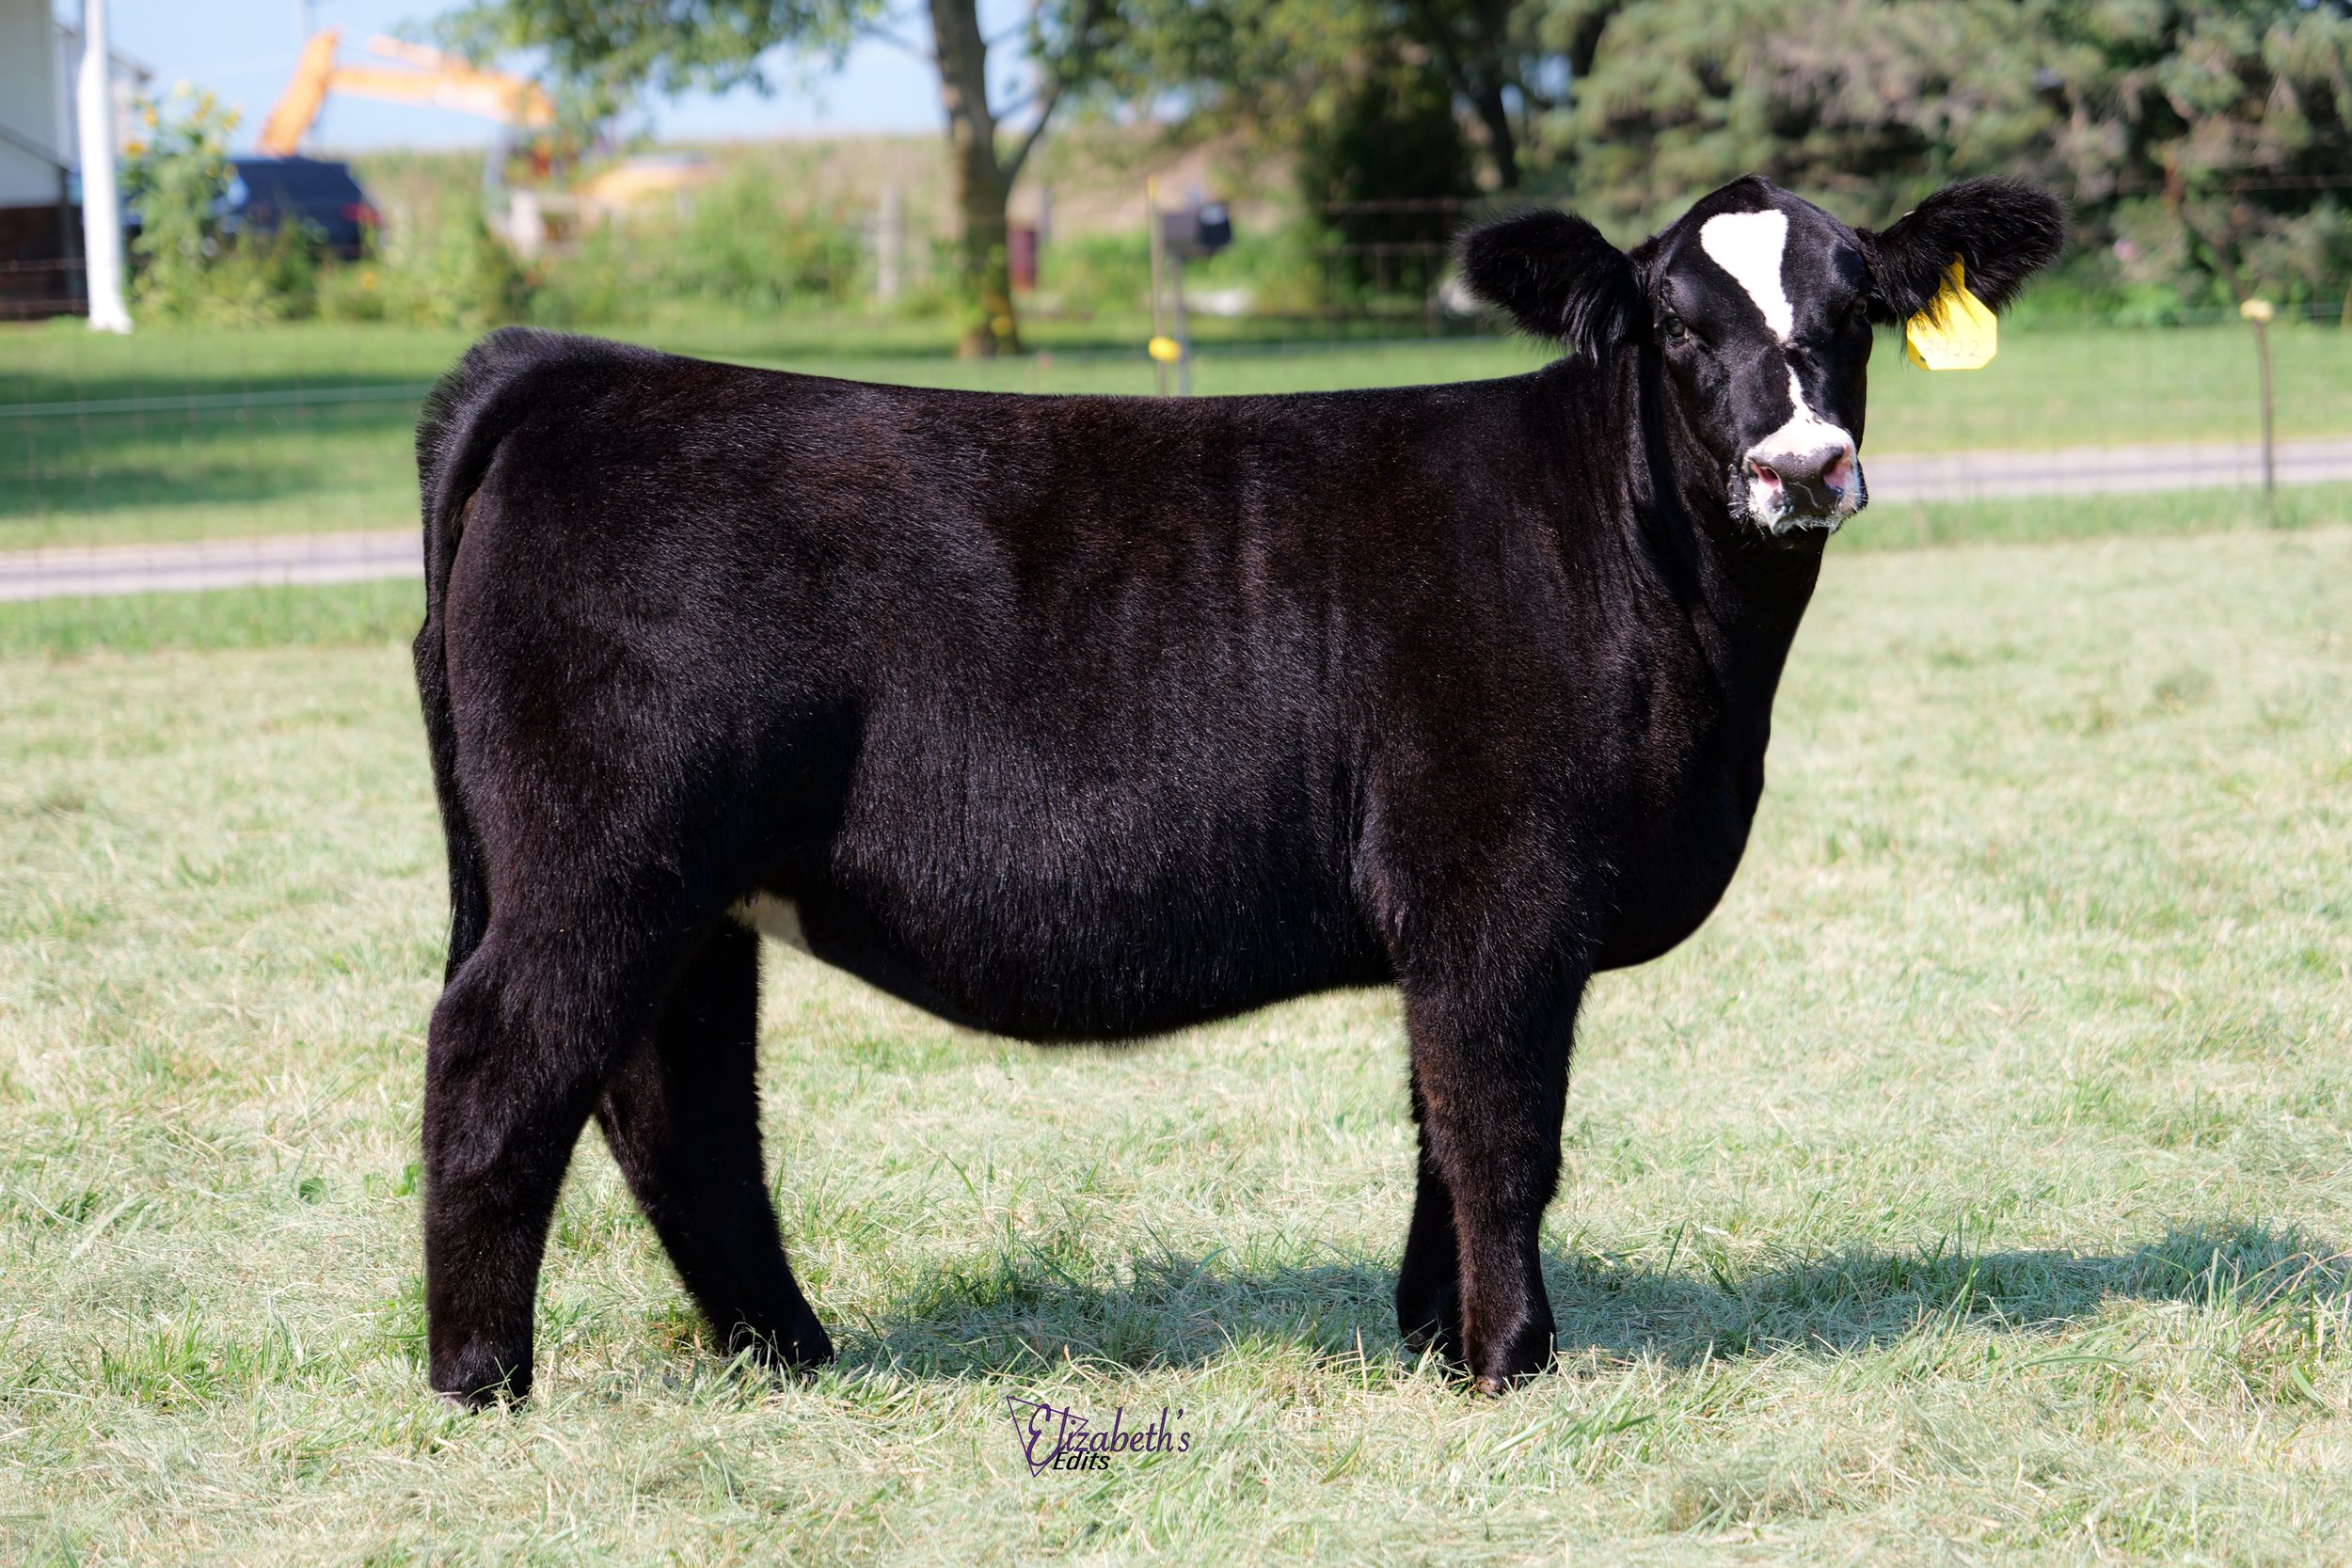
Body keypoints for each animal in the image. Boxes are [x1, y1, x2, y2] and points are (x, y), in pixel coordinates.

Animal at [411, 175, 2065, 1407]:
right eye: (1673, 318)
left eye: (1856, 311)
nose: (1805, 461)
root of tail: (582, 368)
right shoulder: (1500, 884)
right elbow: (1500, 1122)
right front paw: (1513, 1357)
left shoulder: (1455, 912)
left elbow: (1437, 1119)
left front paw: (1431, 1333)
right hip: (605, 855)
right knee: (502, 1059)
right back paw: (480, 1377)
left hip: (690, 888)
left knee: (674, 1094)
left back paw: (788, 1351)